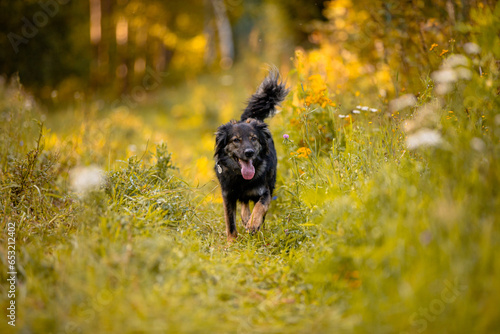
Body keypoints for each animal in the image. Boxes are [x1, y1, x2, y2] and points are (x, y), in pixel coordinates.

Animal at [214, 68, 290, 240]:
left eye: (253, 139)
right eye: (236, 140)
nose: (249, 152)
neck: (242, 179)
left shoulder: (265, 191)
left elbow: (260, 207)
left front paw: (254, 224)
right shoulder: (228, 195)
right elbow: (230, 223)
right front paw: (232, 242)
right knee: (243, 202)